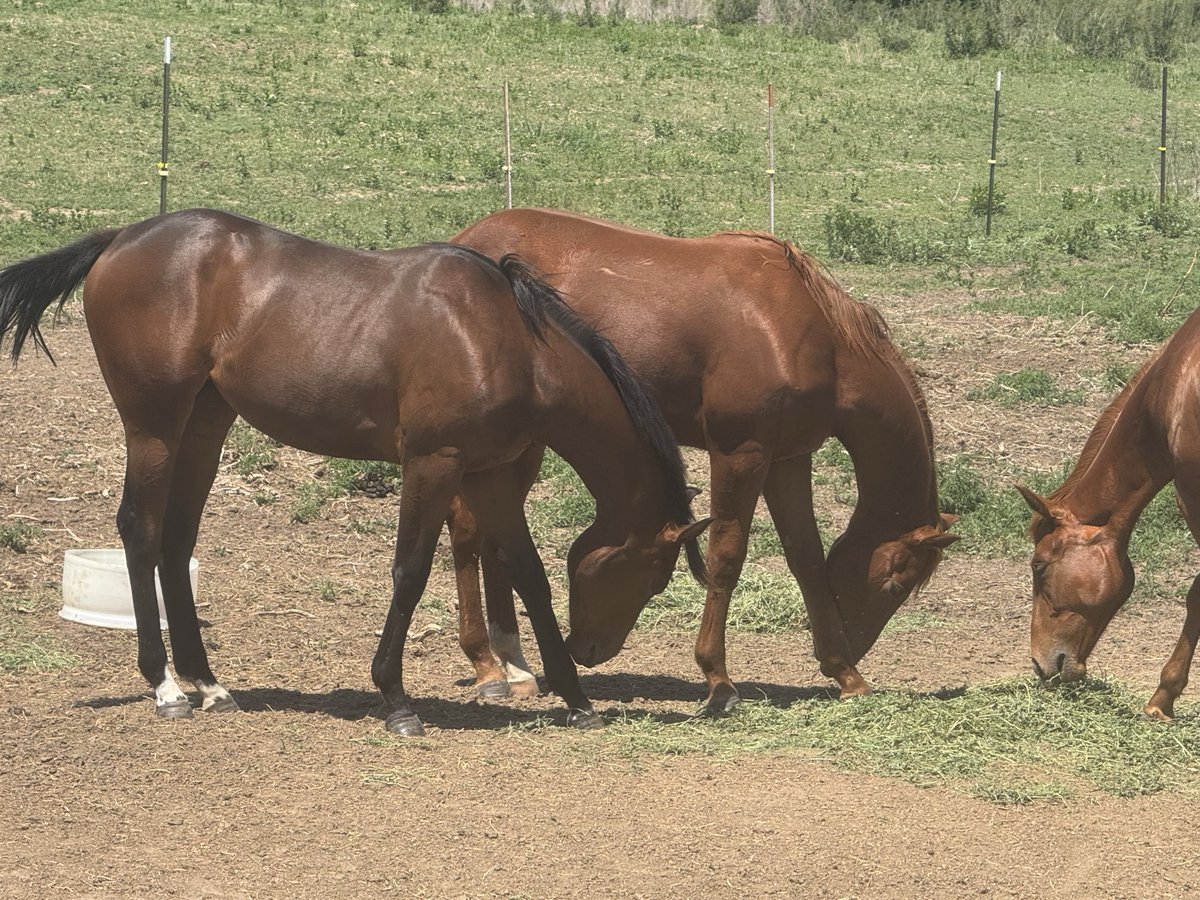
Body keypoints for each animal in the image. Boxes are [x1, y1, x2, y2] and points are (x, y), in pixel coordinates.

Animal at [0, 208, 710, 736]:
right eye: (651, 578)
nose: (596, 652)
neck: (504, 337)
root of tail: (121, 238)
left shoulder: (488, 475)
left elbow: (529, 574)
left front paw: (574, 696)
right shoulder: (433, 463)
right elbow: (410, 571)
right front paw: (395, 698)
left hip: (205, 425)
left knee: (176, 541)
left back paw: (208, 683)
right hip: (153, 425)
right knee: (141, 531)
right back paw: (166, 685)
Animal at [448, 207, 958, 712]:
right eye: (894, 585)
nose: (858, 645)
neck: (806, 332)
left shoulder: (788, 459)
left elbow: (806, 557)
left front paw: (846, 673)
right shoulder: (740, 454)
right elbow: (725, 557)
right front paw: (718, 679)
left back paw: (516, 666)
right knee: (469, 530)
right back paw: (488, 666)